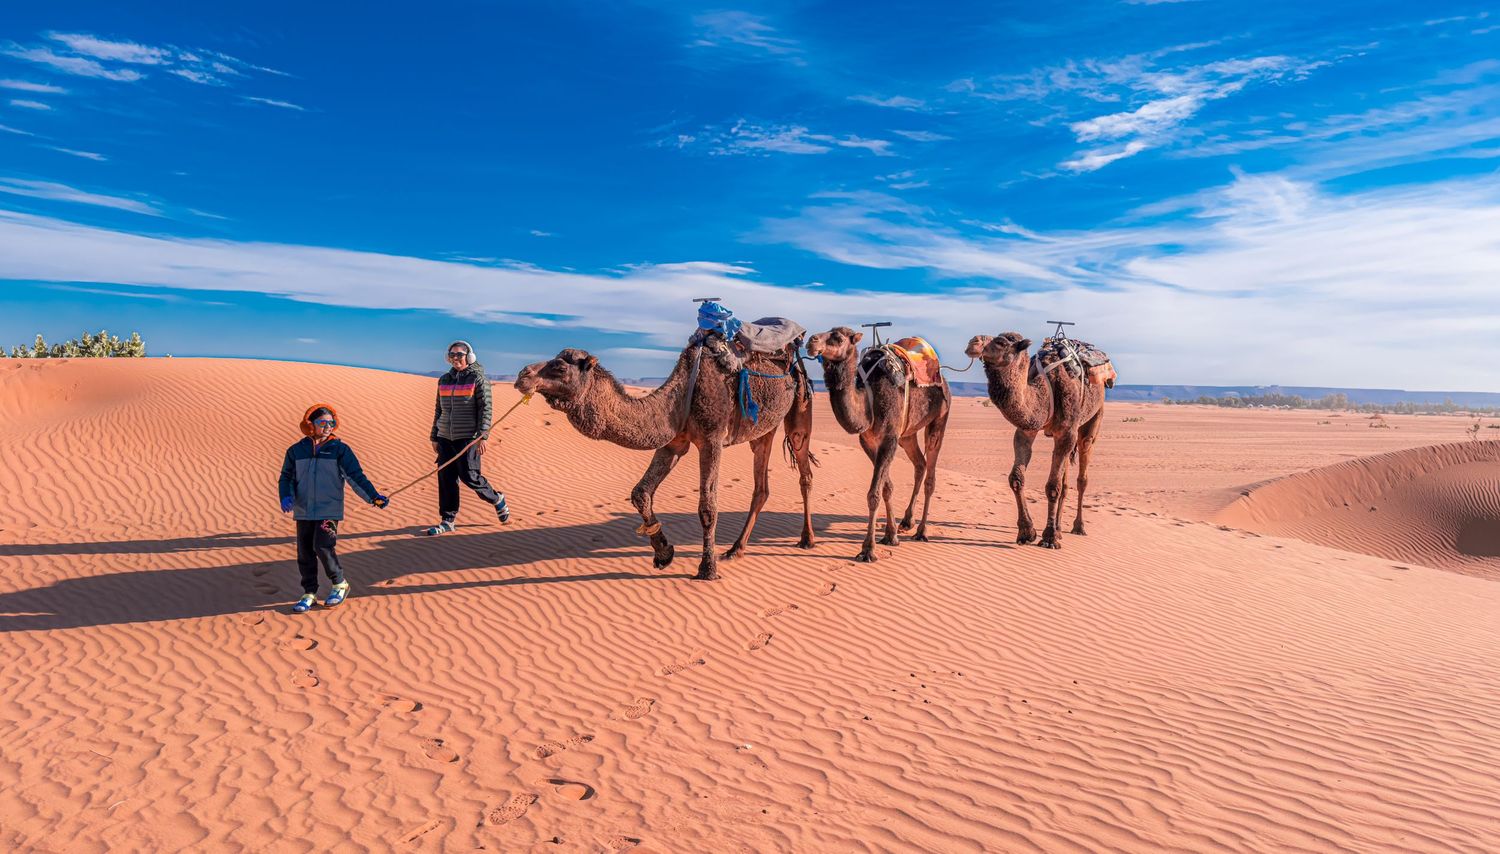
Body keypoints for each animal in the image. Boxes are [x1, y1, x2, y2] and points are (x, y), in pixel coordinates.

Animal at [514, 336, 816, 581]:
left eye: (560, 367)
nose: (522, 375)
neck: (680, 397)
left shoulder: (712, 439)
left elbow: (707, 507)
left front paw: (707, 569)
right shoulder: (673, 442)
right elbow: (640, 492)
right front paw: (663, 553)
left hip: (800, 405)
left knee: (804, 470)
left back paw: (806, 540)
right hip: (763, 429)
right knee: (761, 486)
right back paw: (735, 550)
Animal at [805, 328, 951, 562]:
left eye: (838, 337)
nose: (811, 340)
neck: (869, 400)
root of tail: (943, 378)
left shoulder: (889, 438)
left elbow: (873, 494)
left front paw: (868, 550)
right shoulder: (868, 441)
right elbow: (886, 487)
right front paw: (890, 536)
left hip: (940, 418)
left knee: (931, 473)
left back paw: (921, 531)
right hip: (907, 433)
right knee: (920, 464)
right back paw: (907, 522)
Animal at [965, 332, 1105, 550]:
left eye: (1001, 343)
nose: (973, 343)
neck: (1044, 393)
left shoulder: (1067, 432)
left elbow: (1052, 487)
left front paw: (1049, 538)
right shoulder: (1026, 430)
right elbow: (1016, 478)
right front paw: (1027, 532)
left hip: (1093, 417)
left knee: (1082, 471)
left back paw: (1078, 527)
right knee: (1065, 479)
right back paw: (1059, 528)